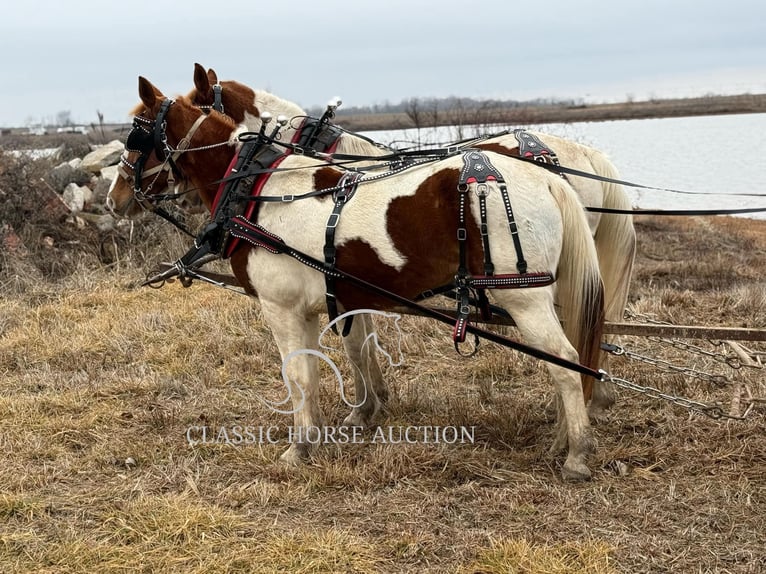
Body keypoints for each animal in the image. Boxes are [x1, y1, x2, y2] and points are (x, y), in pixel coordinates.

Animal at [106, 76, 608, 482]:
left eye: (135, 134)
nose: (115, 198)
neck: (258, 188)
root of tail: (545, 178)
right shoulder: (336, 299)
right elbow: (342, 356)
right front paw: (353, 417)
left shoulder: (282, 308)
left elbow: (300, 375)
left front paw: (300, 446)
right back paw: (563, 435)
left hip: (527, 300)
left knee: (566, 362)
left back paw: (577, 453)